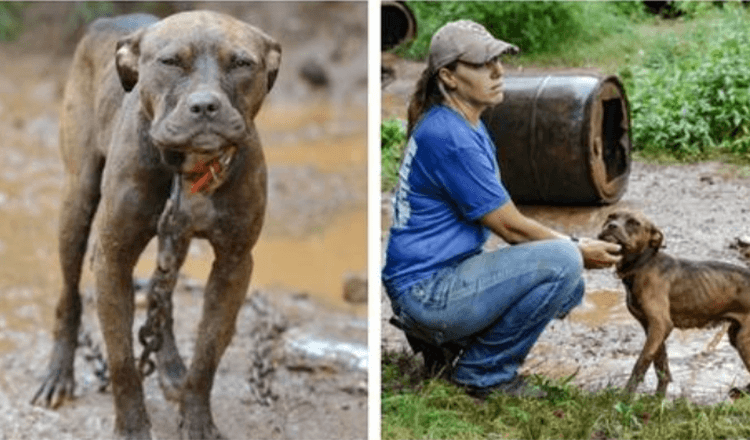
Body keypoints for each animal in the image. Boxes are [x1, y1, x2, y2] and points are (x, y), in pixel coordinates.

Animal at [30, 11, 284, 440]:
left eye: (241, 63)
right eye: (170, 62)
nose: (205, 105)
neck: (189, 167)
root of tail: (110, 18)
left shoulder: (234, 264)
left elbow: (207, 353)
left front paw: (196, 419)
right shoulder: (112, 259)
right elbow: (121, 361)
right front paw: (132, 427)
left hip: (174, 239)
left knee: (161, 298)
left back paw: (170, 366)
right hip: (76, 201)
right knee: (70, 296)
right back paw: (58, 374)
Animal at [604, 211, 750, 398]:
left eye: (634, 223)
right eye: (610, 216)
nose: (611, 226)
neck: (643, 263)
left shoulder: (660, 325)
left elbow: (641, 361)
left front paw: (626, 396)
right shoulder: (651, 327)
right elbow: (660, 361)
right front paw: (660, 394)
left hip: (744, 339)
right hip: (736, 335)